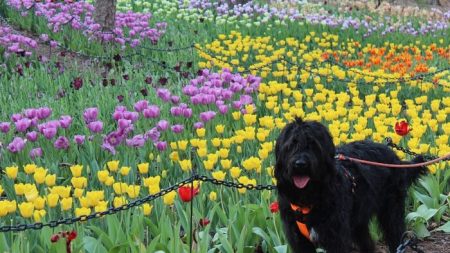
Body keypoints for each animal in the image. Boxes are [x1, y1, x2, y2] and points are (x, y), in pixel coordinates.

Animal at [274, 118, 426, 253]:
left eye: (313, 144)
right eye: (291, 145)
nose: (300, 164)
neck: (309, 198)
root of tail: (396, 158)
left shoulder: (336, 238)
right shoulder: (299, 240)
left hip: (391, 211)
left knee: (396, 235)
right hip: (359, 219)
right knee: (368, 243)